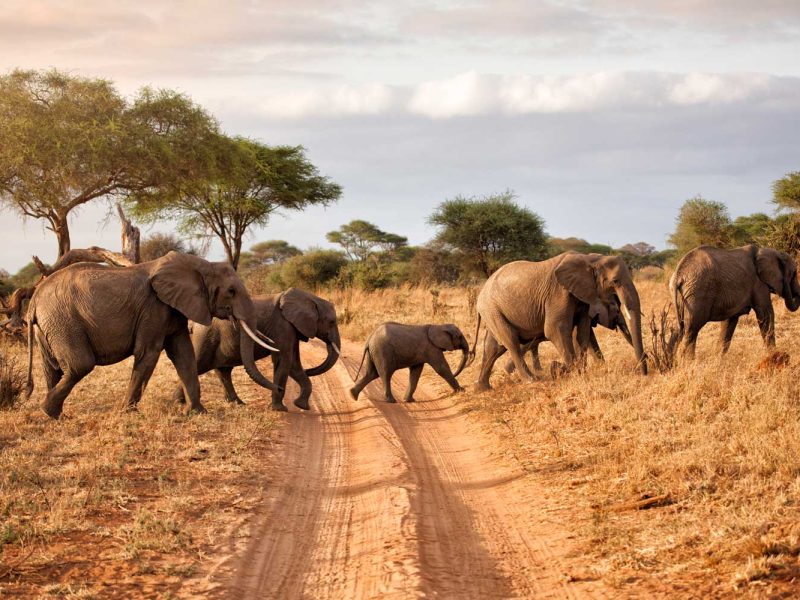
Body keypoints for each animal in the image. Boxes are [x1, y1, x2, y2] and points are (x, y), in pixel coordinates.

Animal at [25, 251, 279, 419]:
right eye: (231, 291)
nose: (279, 391)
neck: (201, 265)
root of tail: (34, 299)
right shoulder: (154, 307)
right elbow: (149, 353)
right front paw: (127, 413)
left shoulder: (174, 309)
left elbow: (184, 355)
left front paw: (197, 412)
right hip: (64, 321)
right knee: (80, 365)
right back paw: (49, 411)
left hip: (50, 326)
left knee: (52, 368)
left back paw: (55, 416)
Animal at [173, 287, 341, 412]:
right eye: (332, 322)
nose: (309, 370)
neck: (310, 298)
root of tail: (193, 323)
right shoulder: (283, 327)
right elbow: (285, 362)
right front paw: (280, 409)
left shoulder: (292, 329)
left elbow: (294, 364)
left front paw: (301, 406)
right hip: (205, 336)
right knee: (198, 365)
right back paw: (178, 402)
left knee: (223, 371)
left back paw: (237, 403)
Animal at [473, 252, 646, 390]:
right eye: (615, 281)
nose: (644, 373)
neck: (589, 259)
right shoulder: (559, 293)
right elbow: (555, 329)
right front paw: (559, 369)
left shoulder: (583, 296)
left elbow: (583, 332)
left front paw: (579, 371)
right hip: (492, 309)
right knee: (511, 341)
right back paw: (532, 380)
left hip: (493, 311)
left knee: (493, 347)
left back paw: (483, 388)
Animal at [670, 244, 800, 358]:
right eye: (794, 274)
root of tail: (678, 275)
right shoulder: (758, 284)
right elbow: (766, 314)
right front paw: (775, 354)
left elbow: (729, 322)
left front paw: (719, 359)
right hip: (697, 293)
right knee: (691, 329)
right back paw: (688, 362)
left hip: (684, 297)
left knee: (679, 329)